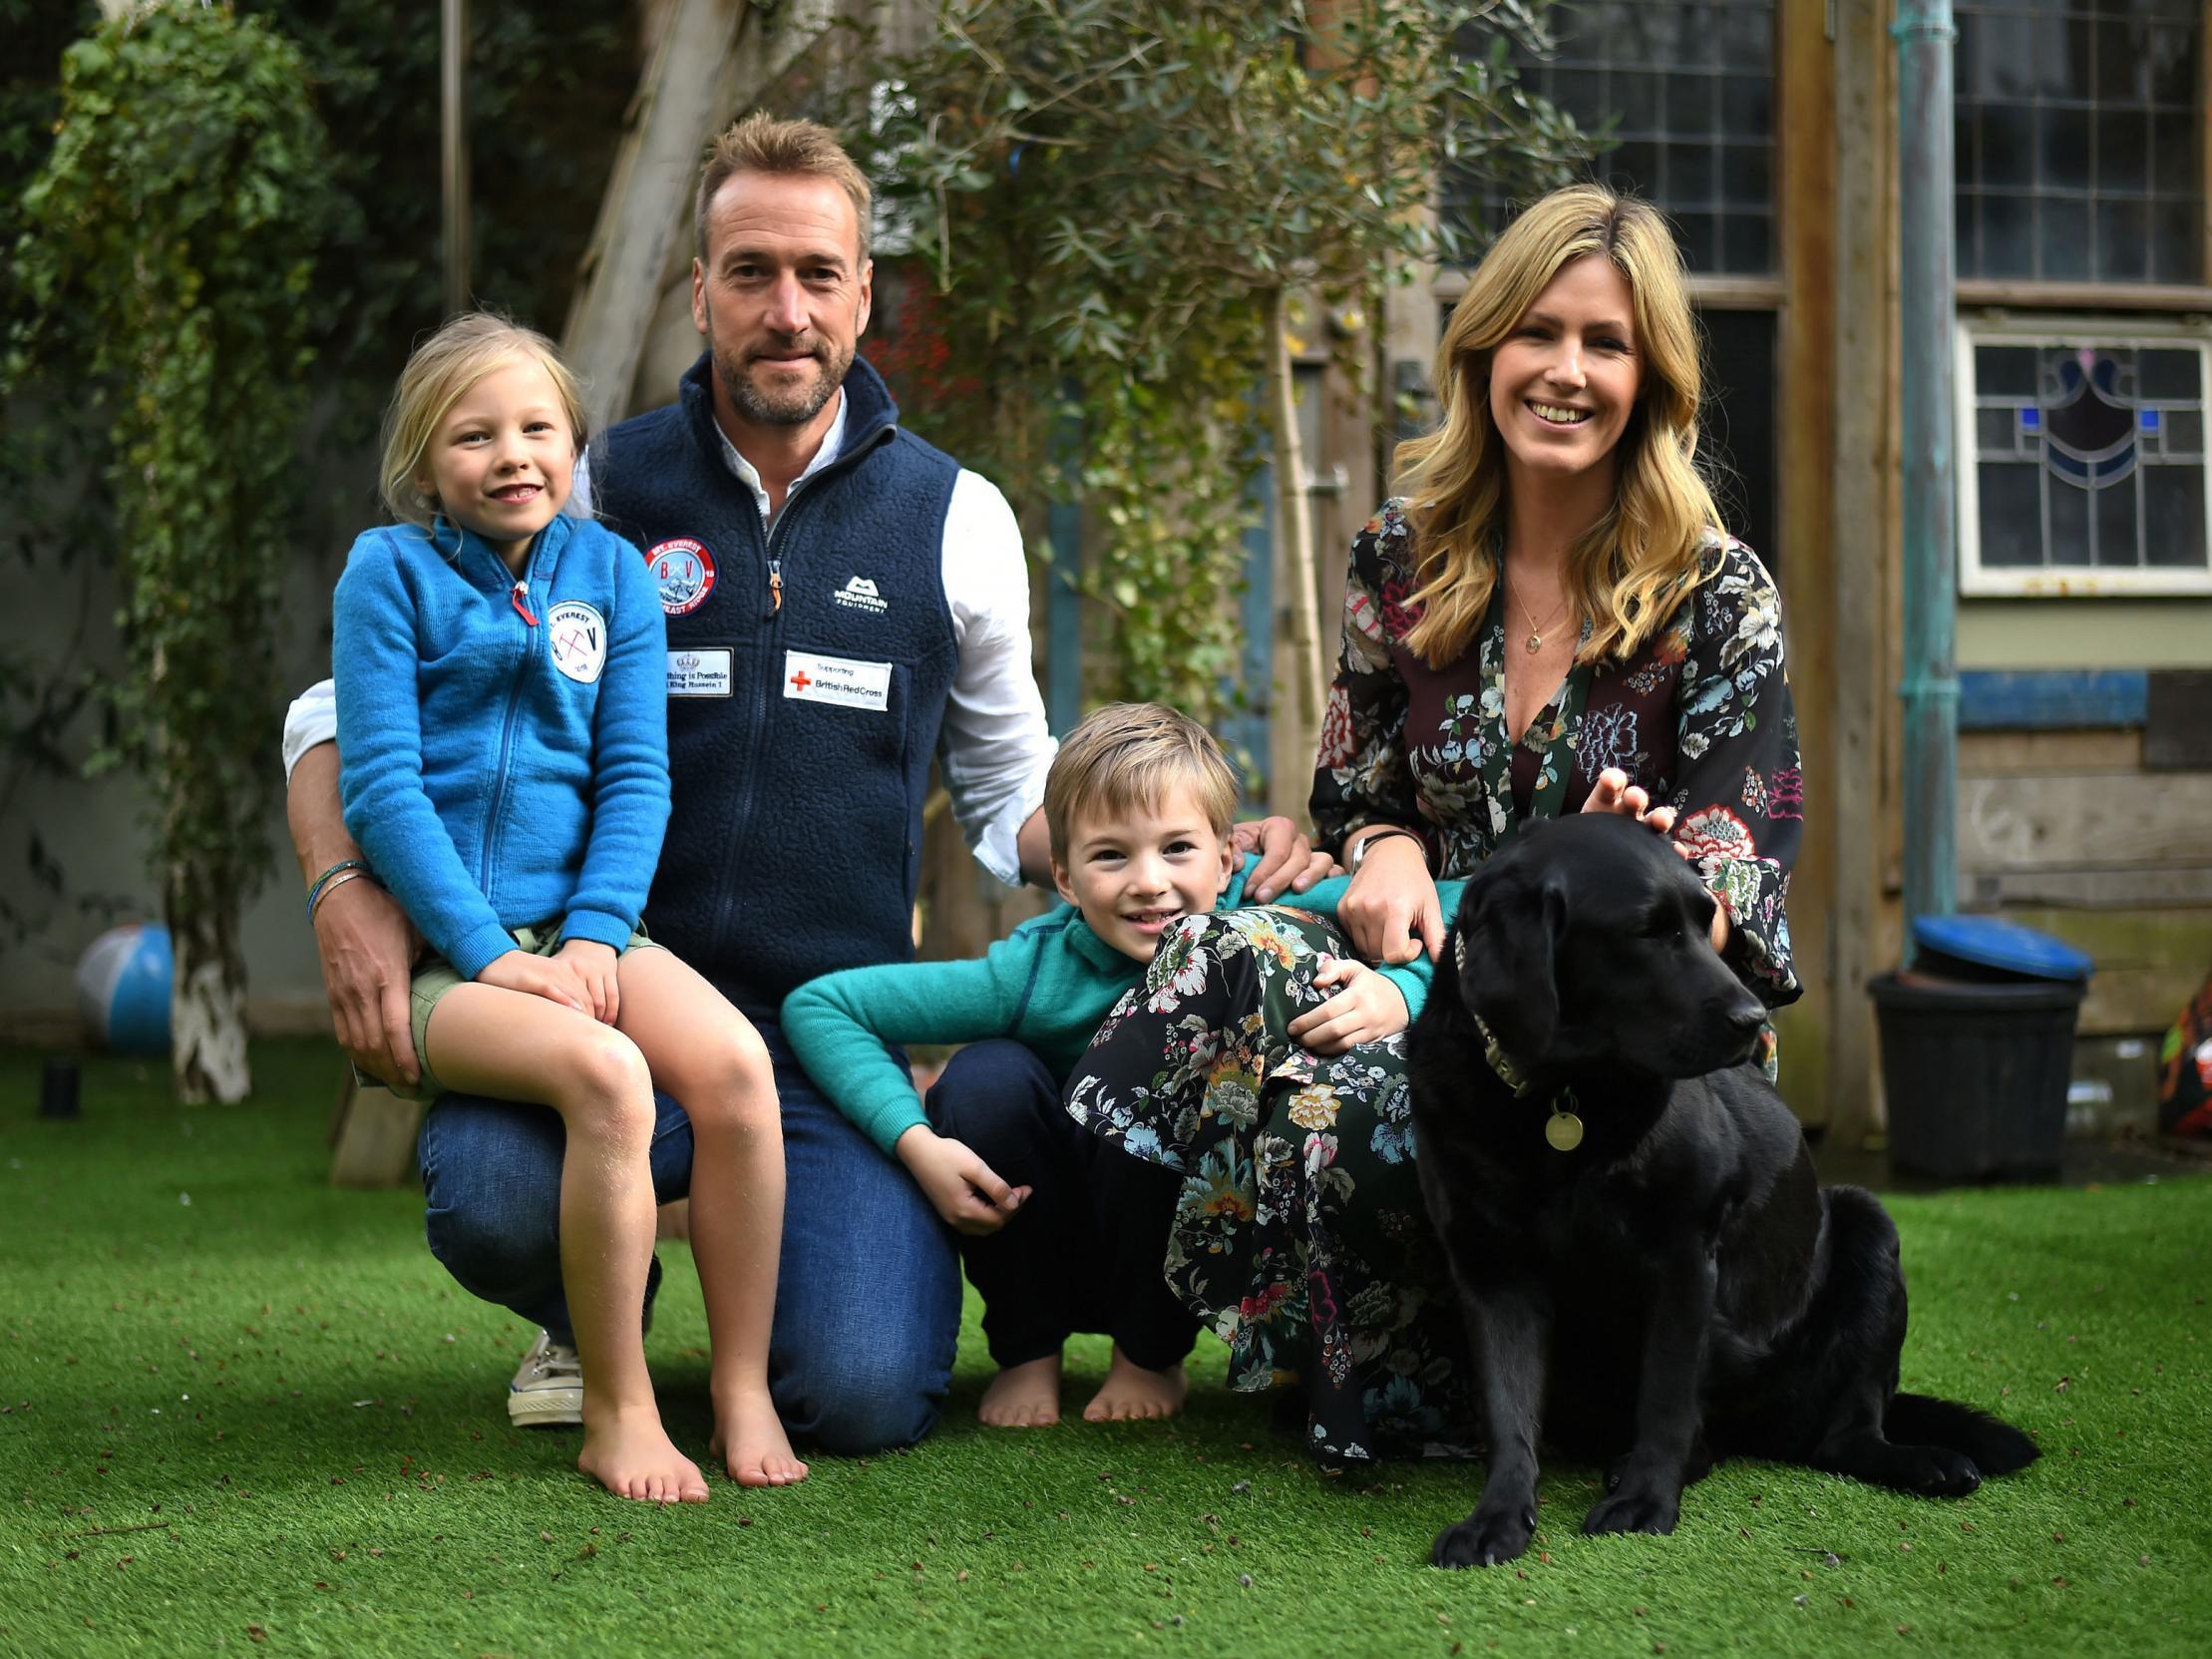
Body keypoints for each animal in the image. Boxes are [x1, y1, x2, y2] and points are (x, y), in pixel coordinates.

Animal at [1406, 818, 2026, 1574]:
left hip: (1868, 1227)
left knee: (1843, 1436)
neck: (1563, 1096)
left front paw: (1645, 1501)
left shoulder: (1682, 1259)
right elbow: (1508, 1410)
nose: (1752, 1015)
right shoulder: (1493, 1270)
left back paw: (1923, 1461)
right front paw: (1496, 1518)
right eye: (1648, 932)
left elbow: (1667, 1397)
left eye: (1708, 925)